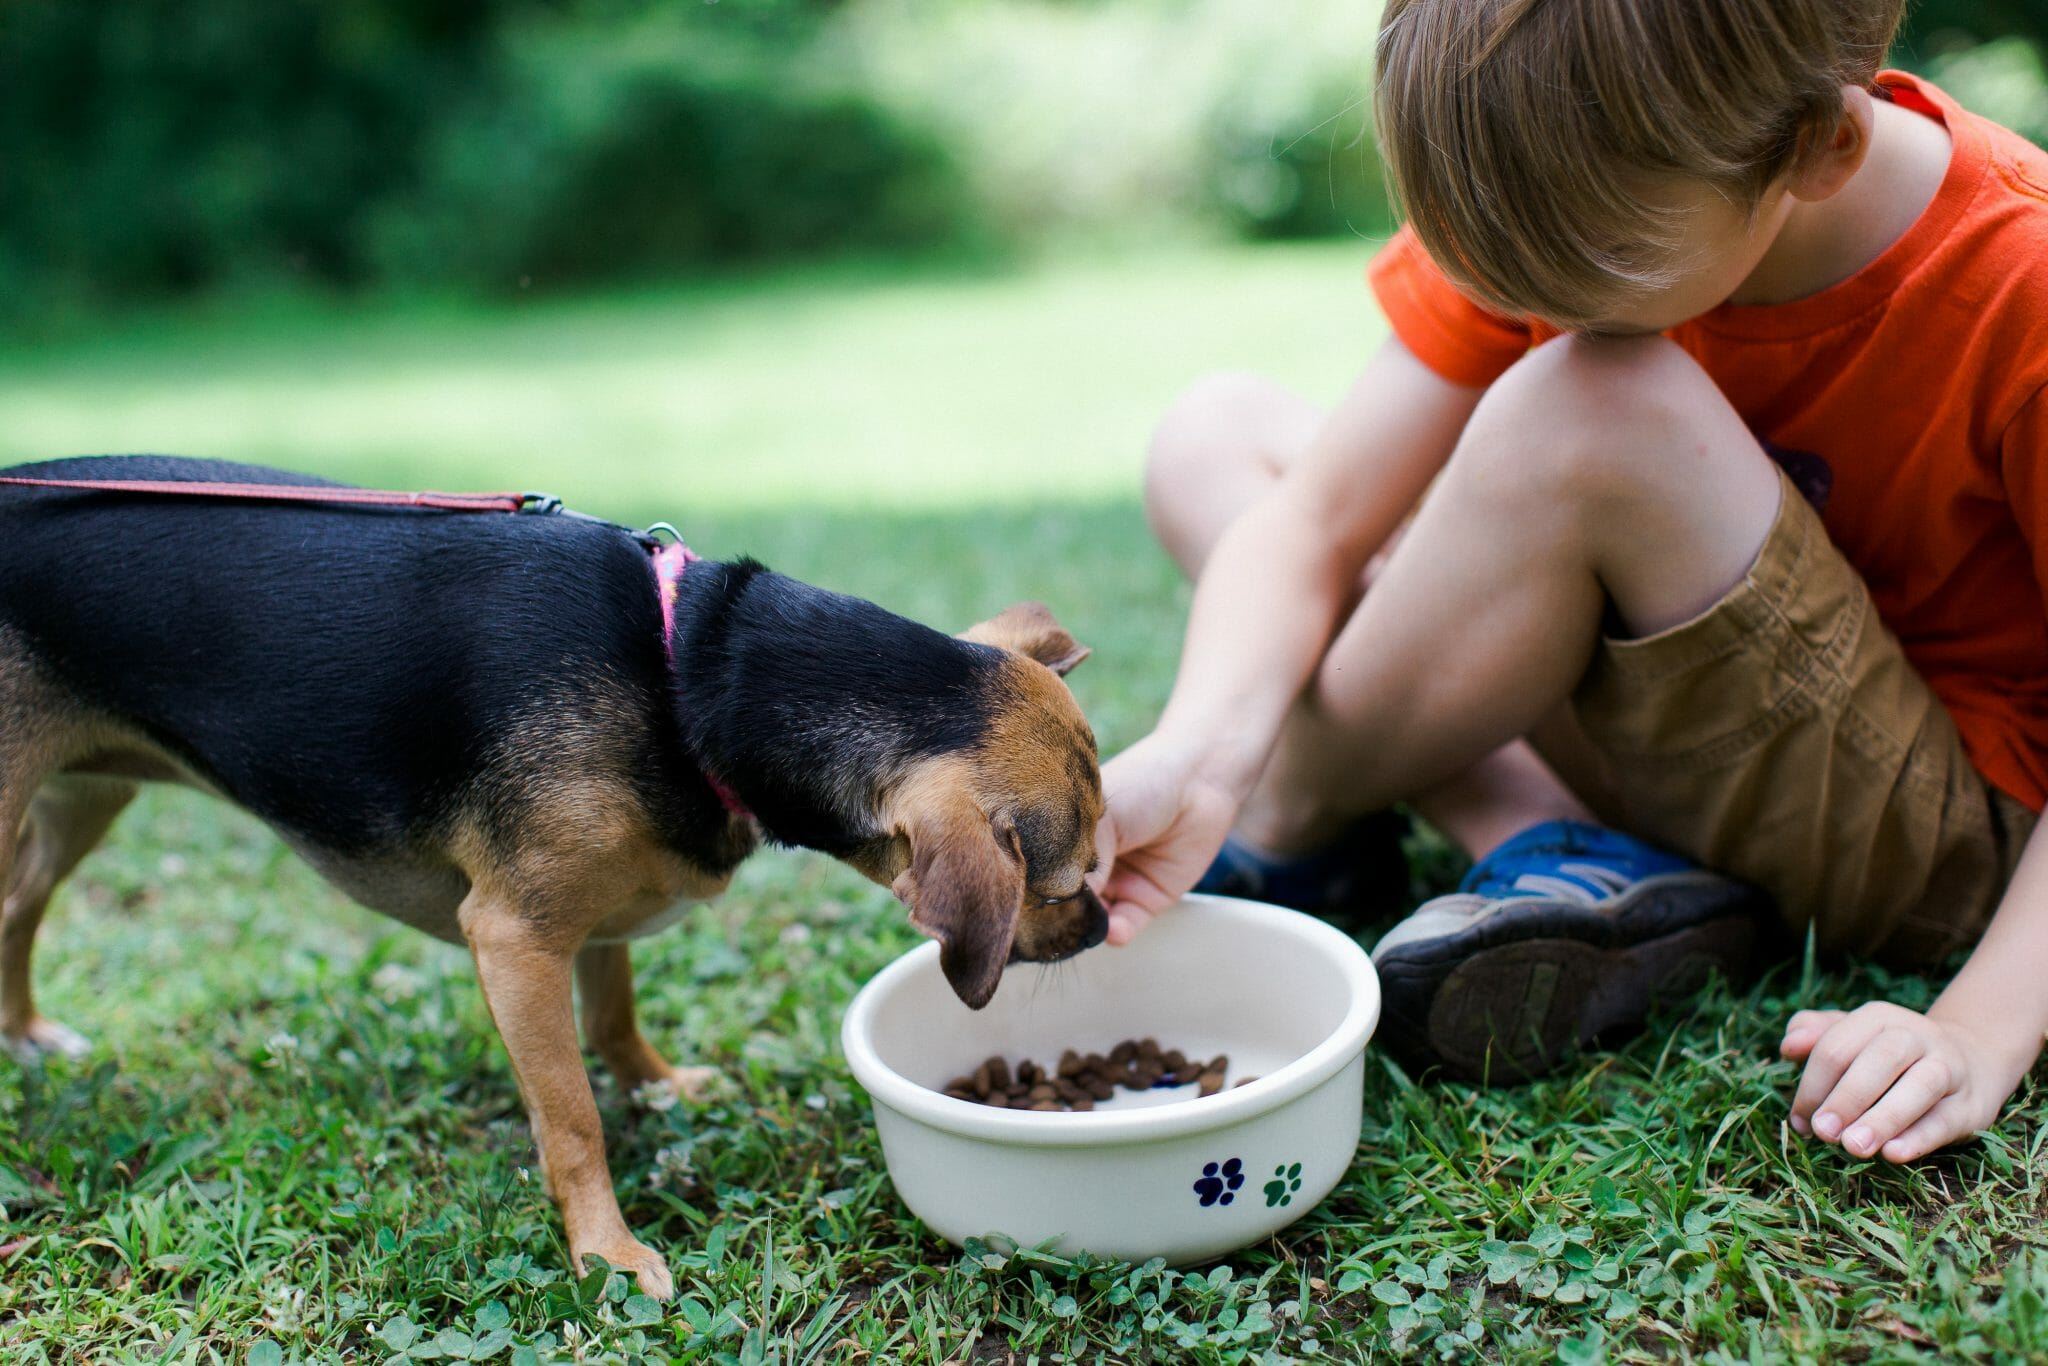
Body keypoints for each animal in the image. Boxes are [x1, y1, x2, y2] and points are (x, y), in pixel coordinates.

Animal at [0, 456, 1114, 1294]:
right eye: (1058, 884)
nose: (1103, 928)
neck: (687, 675)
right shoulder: (515, 940)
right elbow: (573, 1119)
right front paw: (606, 1254)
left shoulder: (600, 916)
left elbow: (613, 1018)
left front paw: (659, 1089)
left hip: (84, 797)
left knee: (19, 909)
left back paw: (27, 1035)